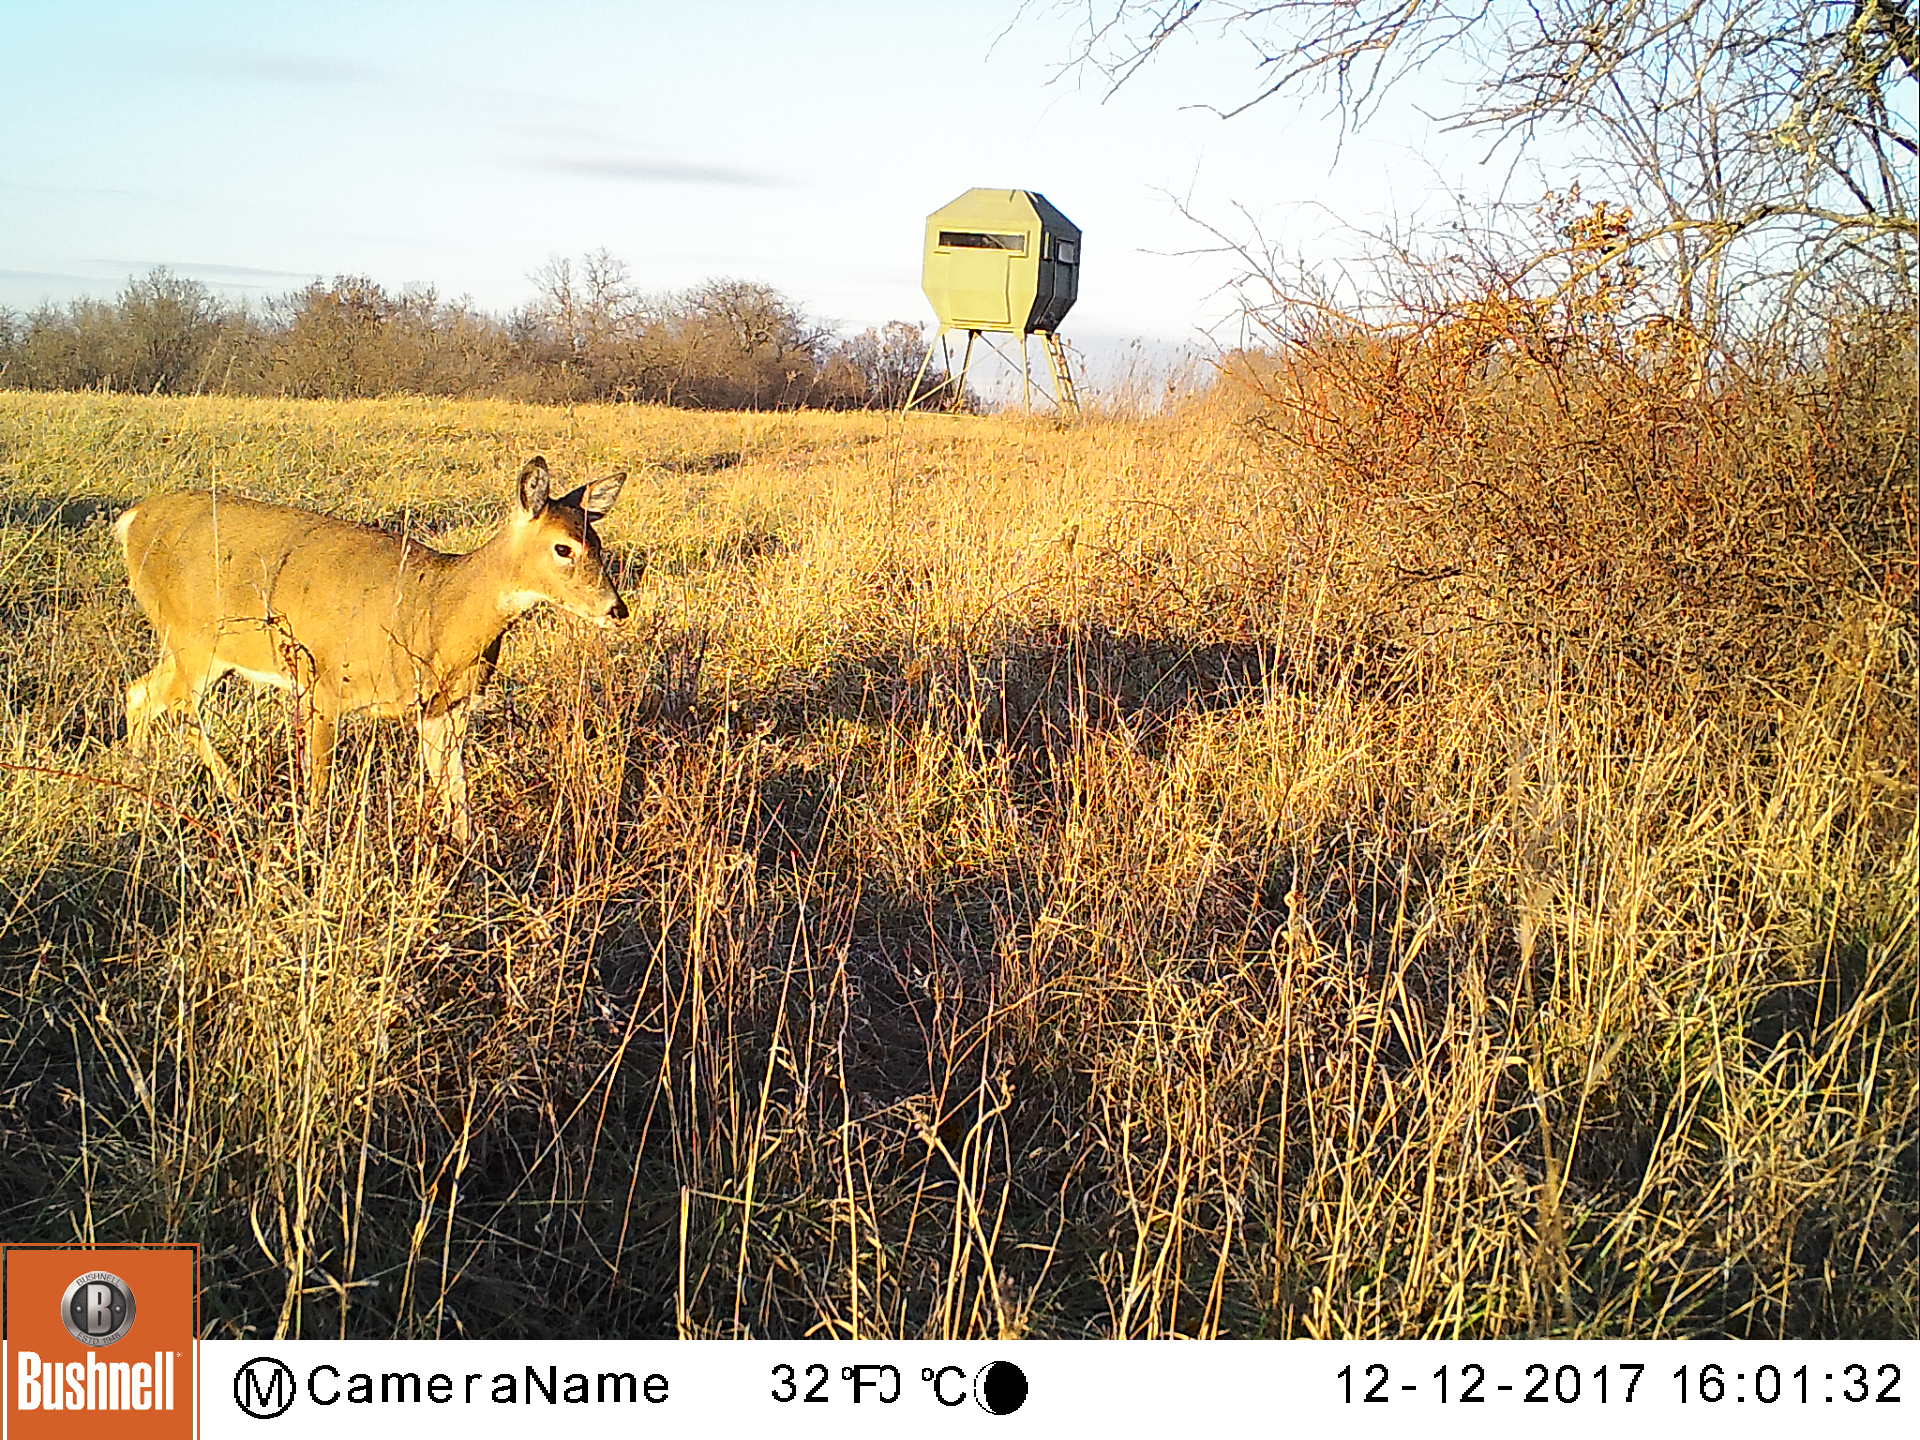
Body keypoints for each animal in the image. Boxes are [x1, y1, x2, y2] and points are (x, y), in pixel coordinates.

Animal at [114, 456, 628, 842]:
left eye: (599, 543)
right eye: (563, 548)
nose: (617, 609)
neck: (437, 611)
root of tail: (132, 520)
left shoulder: (442, 708)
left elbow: (456, 787)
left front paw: (468, 854)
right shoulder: (323, 684)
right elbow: (319, 784)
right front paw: (311, 843)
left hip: (198, 648)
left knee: (140, 692)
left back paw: (137, 780)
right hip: (191, 637)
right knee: (179, 708)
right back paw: (237, 796)